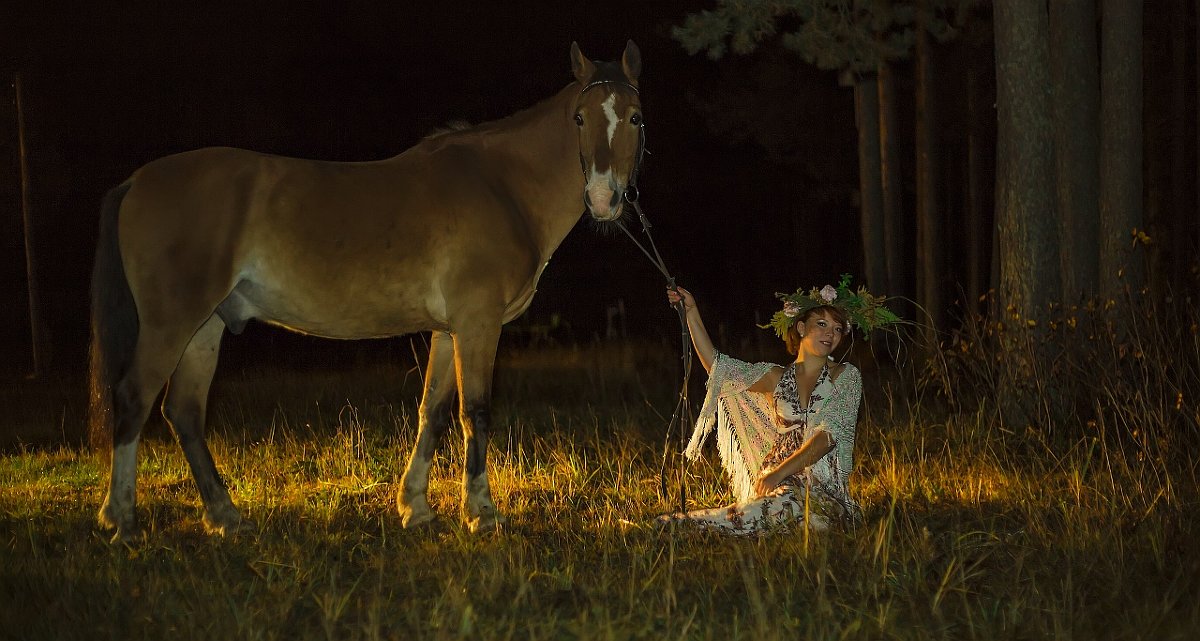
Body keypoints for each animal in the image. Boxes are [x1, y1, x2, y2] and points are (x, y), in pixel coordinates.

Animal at [87, 40, 648, 542]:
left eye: (636, 118)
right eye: (579, 119)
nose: (603, 198)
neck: (501, 184)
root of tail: (136, 182)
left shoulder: (448, 331)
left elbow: (432, 413)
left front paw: (415, 508)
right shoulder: (477, 324)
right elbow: (476, 412)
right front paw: (481, 513)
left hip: (204, 327)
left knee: (183, 411)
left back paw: (226, 517)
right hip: (171, 323)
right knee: (135, 398)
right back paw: (123, 521)